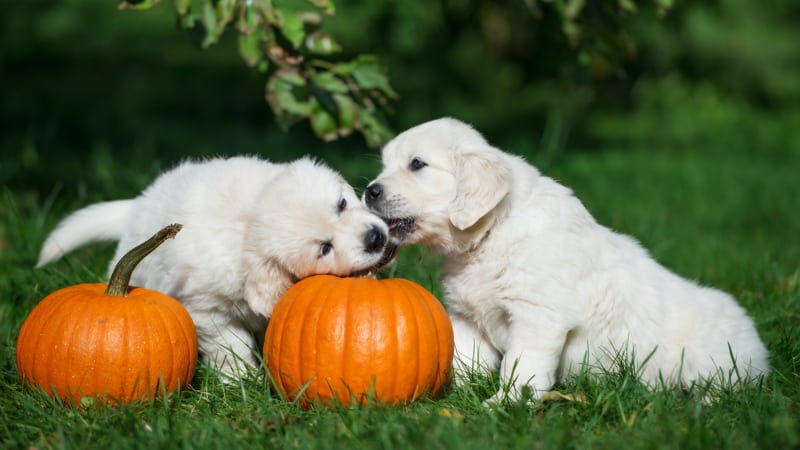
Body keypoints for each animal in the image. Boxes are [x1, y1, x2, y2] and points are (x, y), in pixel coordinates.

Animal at [40, 156, 396, 378]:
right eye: (325, 248)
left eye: (342, 204)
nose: (375, 238)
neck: (248, 222)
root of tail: (139, 205)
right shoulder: (206, 310)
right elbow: (231, 343)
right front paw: (240, 377)